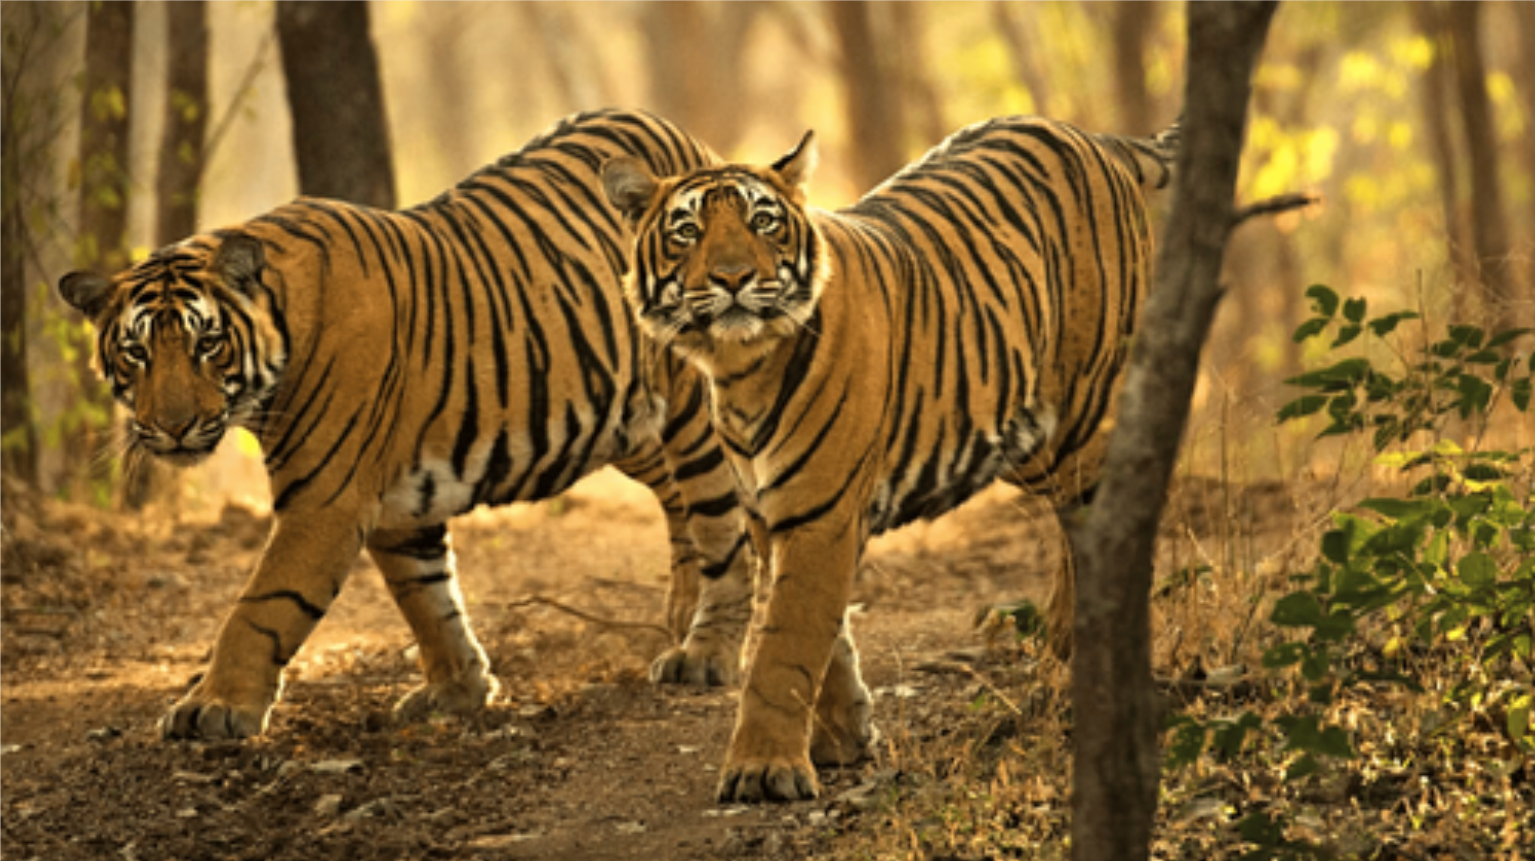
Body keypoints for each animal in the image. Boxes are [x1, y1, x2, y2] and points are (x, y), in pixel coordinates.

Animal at [57, 109, 758, 743]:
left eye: (206, 344)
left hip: (690, 413)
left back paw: (706, 653)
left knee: (722, 523)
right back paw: (682, 616)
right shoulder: (399, 500)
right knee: (681, 505)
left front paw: (212, 707)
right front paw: (459, 691)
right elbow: (427, 599)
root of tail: (687, 142)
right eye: (136, 353)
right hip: (626, 422)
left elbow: (261, 608)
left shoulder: (325, 501)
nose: (173, 427)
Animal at [602, 114, 1178, 802]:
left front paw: (763, 770)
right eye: (686, 232)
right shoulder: (772, 513)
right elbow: (822, 637)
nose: (733, 277)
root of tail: (1088, 135)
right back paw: (1062, 648)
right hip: (1026, 434)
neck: (738, 366)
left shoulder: (817, 513)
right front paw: (843, 736)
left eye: (763, 222)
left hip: (1086, 415)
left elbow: (784, 645)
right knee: (1075, 529)